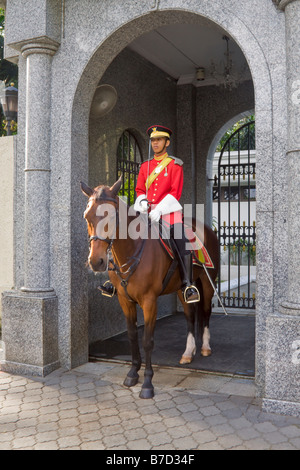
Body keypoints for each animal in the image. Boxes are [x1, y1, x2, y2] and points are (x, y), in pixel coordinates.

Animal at [81, 178, 219, 398]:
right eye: (87, 216)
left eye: (111, 215)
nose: (96, 261)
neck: (131, 249)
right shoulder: (125, 300)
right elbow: (132, 335)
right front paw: (132, 373)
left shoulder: (149, 301)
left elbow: (147, 340)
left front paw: (147, 383)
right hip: (181, 288)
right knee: (190, 315)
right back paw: (188, 352)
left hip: (207, 282)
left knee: (205, 311)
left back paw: (205, 347)